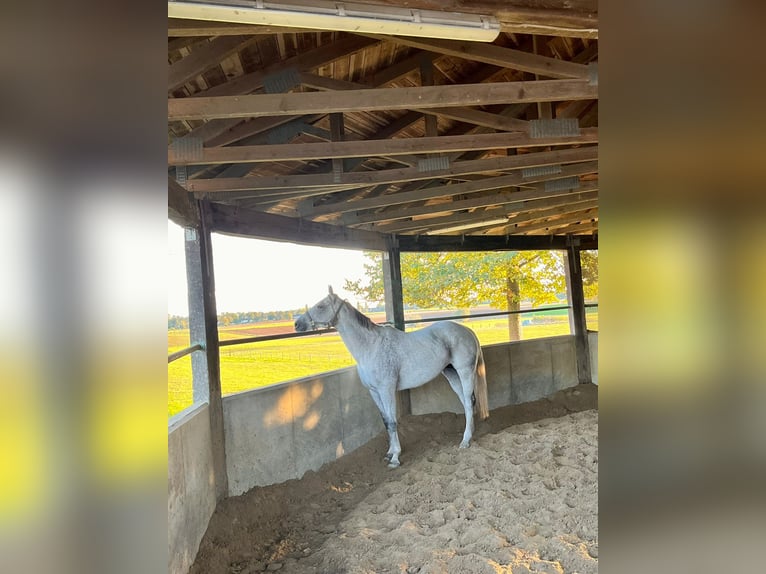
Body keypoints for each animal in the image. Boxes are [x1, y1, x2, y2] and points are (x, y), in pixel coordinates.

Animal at [294, 286, 489, 468]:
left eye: (321, 306)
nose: (297, 324)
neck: (370, 347)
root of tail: (466, 330)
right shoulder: (374, 391)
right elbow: (386, 421)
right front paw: (389, 453)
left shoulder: (386, 390)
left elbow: (392, 421)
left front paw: (395, 457)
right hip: (451, 374)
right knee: (466, 402)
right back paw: (469, 434)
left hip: (464, 372)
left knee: (468, 402)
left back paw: (465, 441)